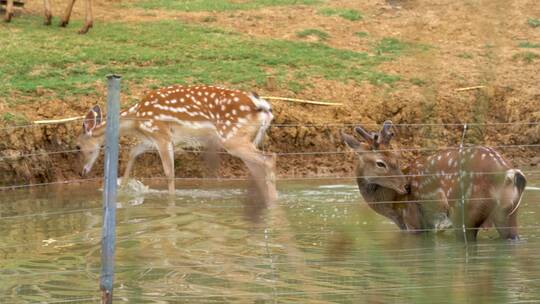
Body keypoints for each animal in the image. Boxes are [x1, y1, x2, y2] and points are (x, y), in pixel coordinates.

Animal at [77, 84, 278, 203]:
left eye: (78, 147)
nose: (82, 172)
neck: (136, 120)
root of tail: (264, 108)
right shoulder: (152, 138)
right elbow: (132, 151)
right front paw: (123, 187)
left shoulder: (160, 133)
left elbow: (169, 173)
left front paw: (171, 200)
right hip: (247, 139)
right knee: (259, 167)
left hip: (232, 137)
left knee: (269, 159)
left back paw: (273, 201)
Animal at [342, 120, 528, 240]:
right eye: (381, 163)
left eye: (396, 158)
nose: (406, 186)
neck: (393, 207)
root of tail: (509, 173)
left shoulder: (413, 220)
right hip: (507, 212)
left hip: (465, 209)